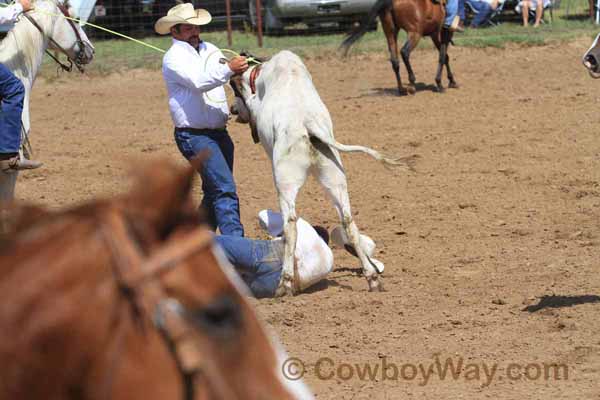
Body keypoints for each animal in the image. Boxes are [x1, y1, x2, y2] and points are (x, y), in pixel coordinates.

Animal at [230, 50, 412, 296]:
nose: (233, 110)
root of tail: (309, 126)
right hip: (335, 177)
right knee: (348, 221)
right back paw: (372, 278)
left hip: (285, 182)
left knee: (290, 225)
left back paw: (285, 284)